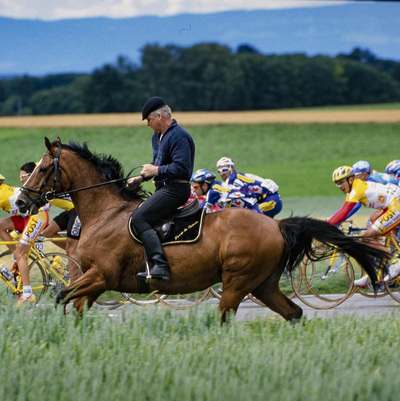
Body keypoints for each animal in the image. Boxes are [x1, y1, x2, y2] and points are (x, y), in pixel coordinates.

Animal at [17, 138, 390, 322]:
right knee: (294, 313)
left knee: (225, 317)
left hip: (238, 281)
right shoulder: (95, 282)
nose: (21, 202)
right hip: (263, 284)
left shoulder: (102, 276)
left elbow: (61, 297)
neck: (103, 214)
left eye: (44, 168)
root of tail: (276, 225)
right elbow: (73, 306)